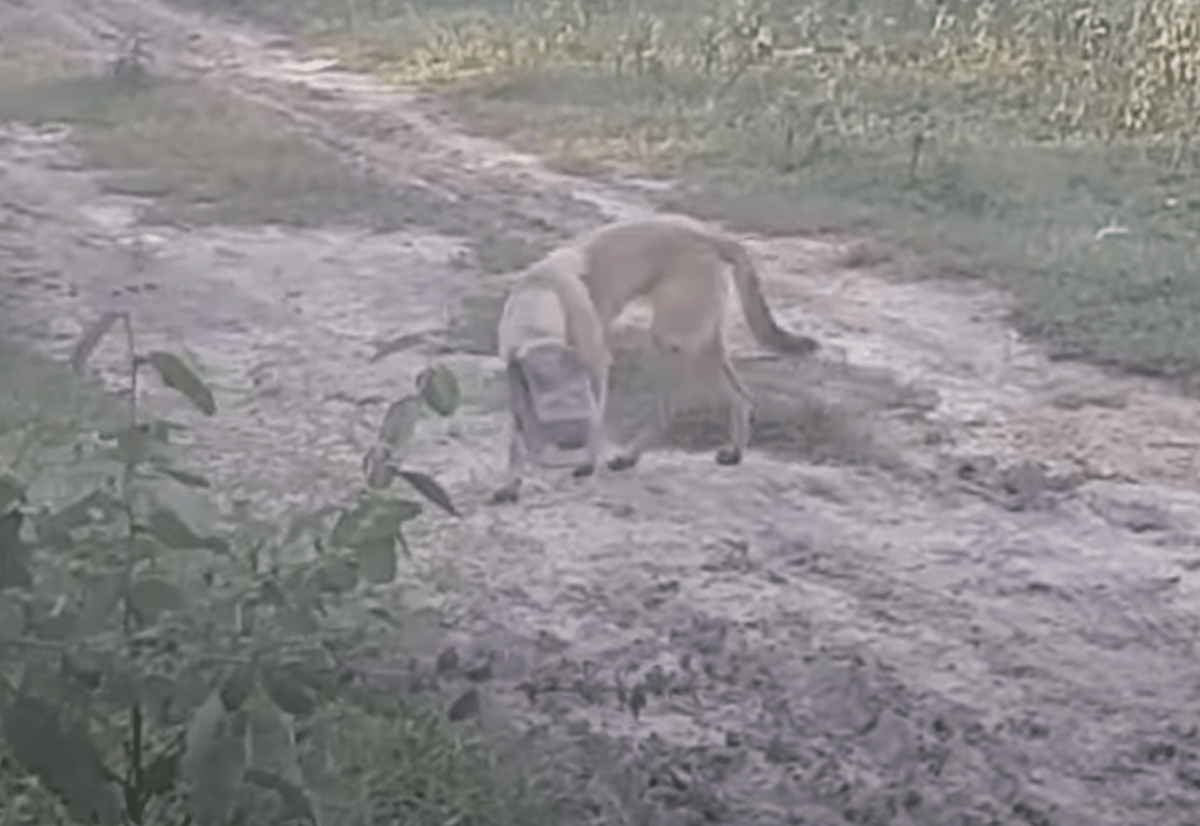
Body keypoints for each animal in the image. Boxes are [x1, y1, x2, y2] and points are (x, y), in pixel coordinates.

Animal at [573, 214, 820, 470]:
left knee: (666, 412)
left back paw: (629, 456)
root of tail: (711, 235)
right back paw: (735, 452)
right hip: (703, 347)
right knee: (742, 397)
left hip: (671, 341)